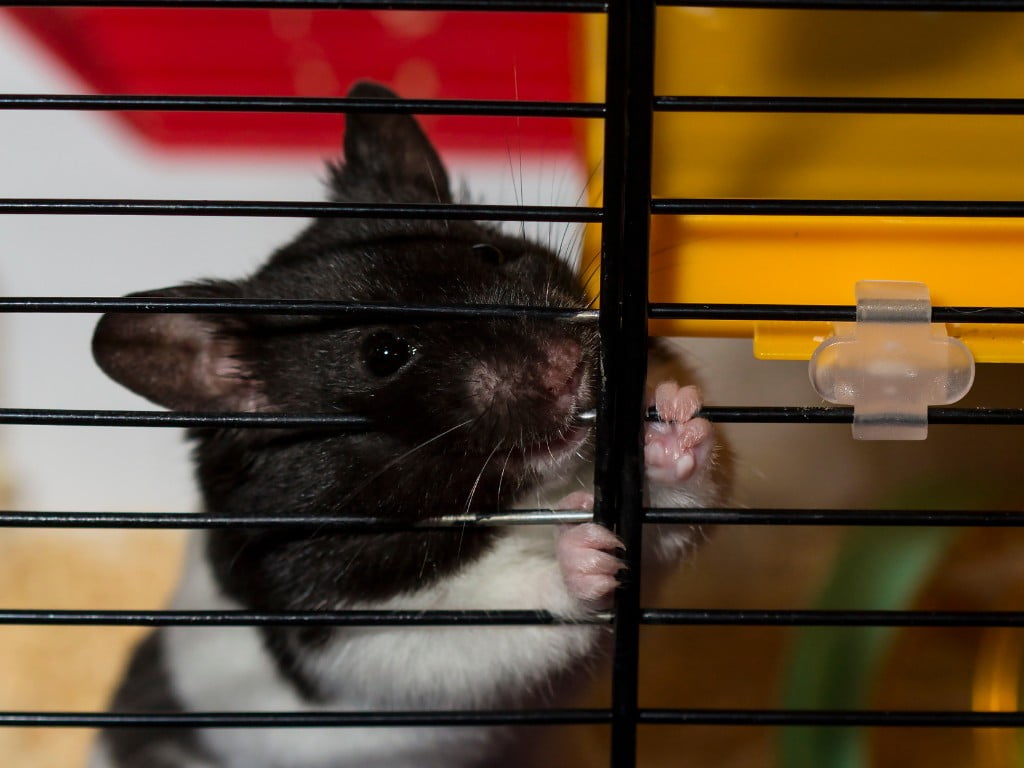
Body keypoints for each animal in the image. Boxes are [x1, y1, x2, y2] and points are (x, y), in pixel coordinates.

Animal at [88, 81, 729, 765]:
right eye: (384, 352)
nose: (566, 368)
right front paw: (585, 554)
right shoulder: (357, 635)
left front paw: (675, 417)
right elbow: (484, 616)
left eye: (489, 252)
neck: (521, 500)